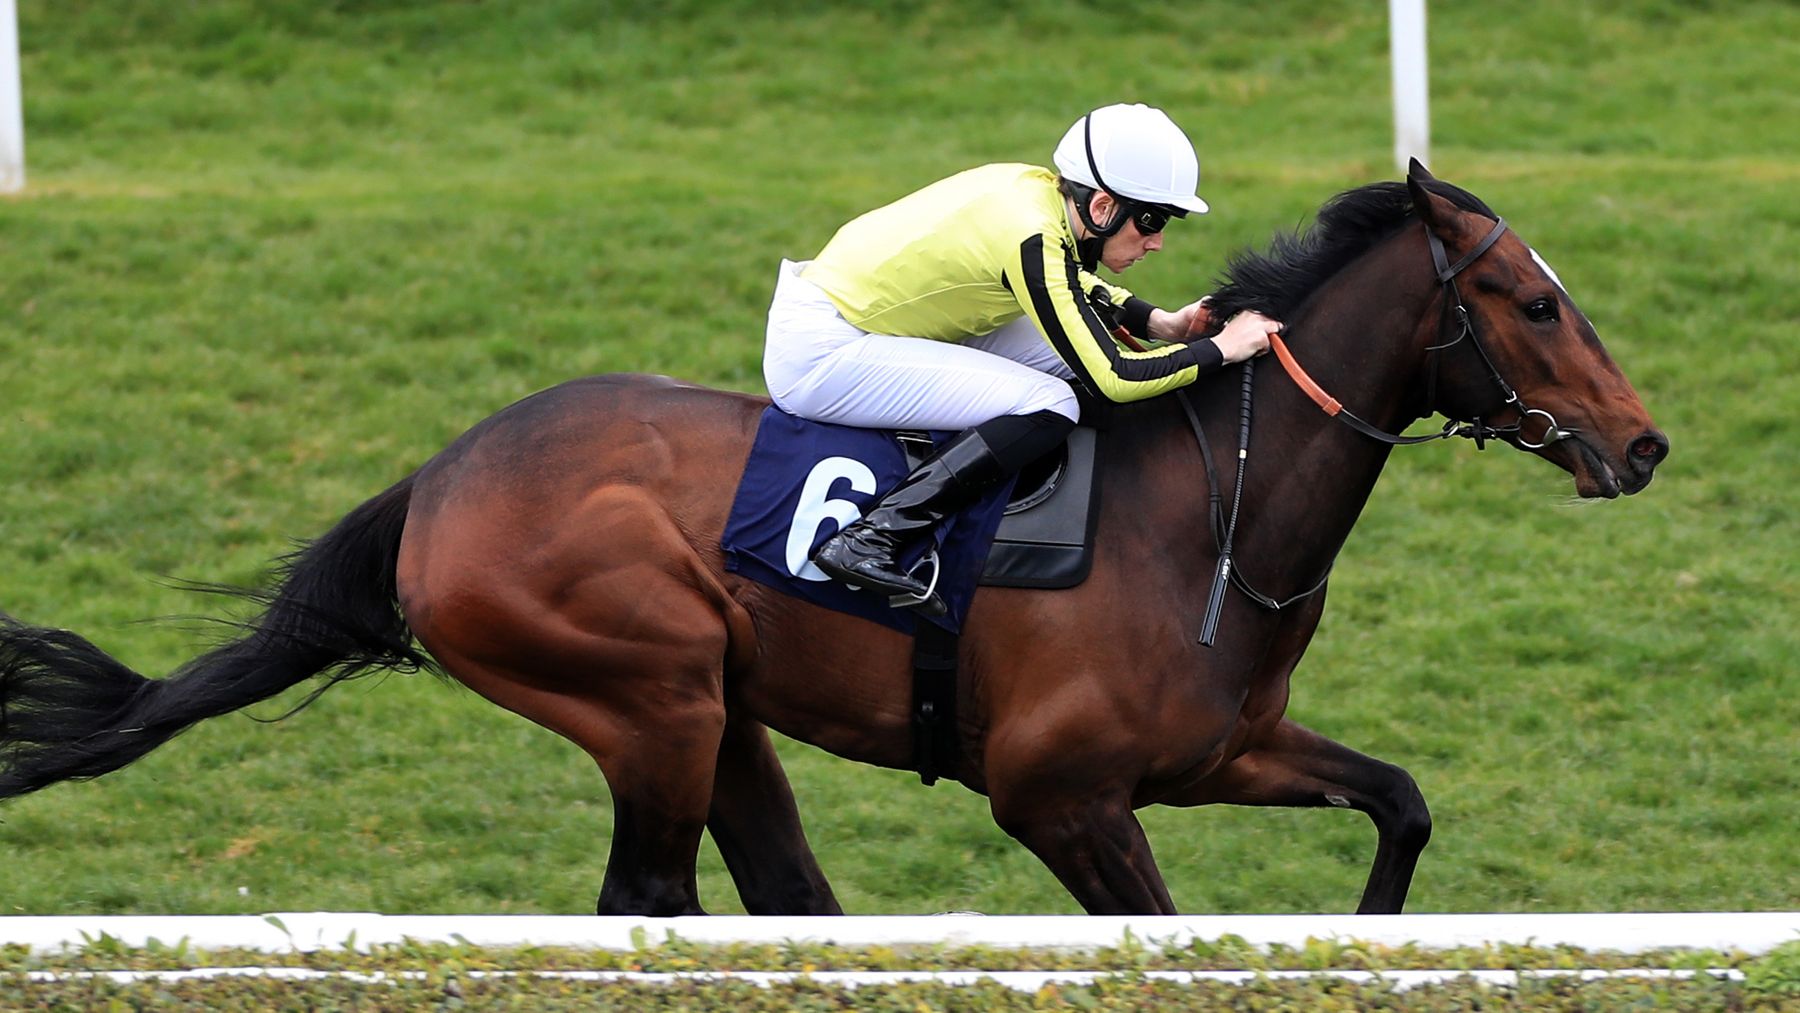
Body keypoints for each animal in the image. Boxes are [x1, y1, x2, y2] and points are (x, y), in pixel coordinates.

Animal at [0, 162, 1667, 916]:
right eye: (1532, 302)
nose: (1644, 443)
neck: (1208, 515)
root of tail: (439, 478)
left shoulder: (1219, 755)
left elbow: (1401, 806)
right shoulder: (1057, 794)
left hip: (717, 713)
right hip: (650, 697)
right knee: (649, 904)